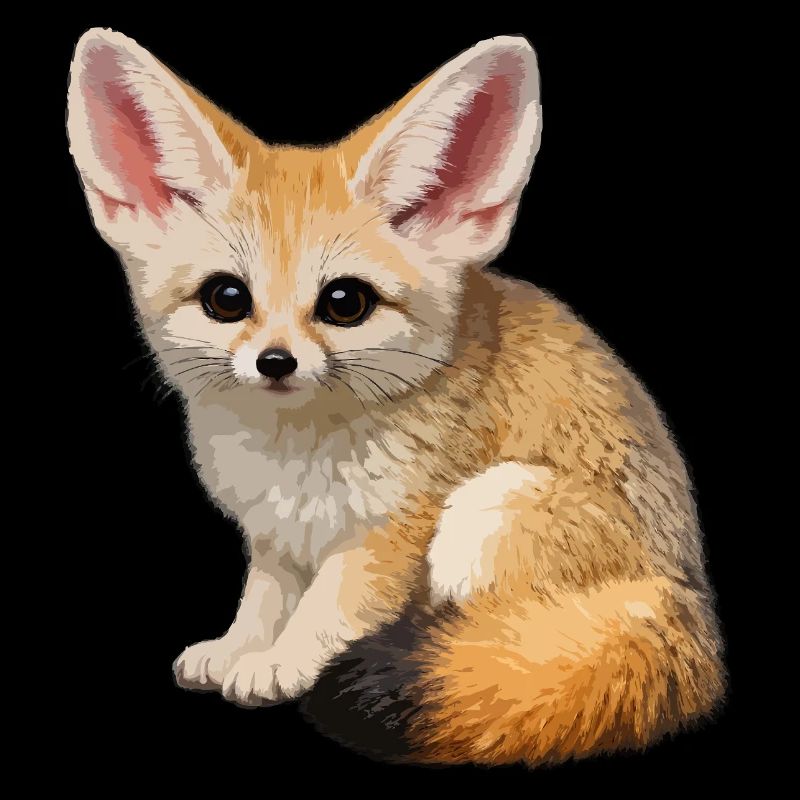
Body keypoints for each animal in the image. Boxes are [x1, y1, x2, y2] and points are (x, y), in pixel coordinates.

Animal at [67, 28, 725, 765]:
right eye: (226, 298)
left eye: (344, 302)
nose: (275, 362)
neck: (294, 454)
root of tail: (687, 599)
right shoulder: (274, 537)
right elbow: (264, 600)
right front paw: (240, 648)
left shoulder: (390, 533)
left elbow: (328, 609)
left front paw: (281, 662)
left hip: (488, 508)